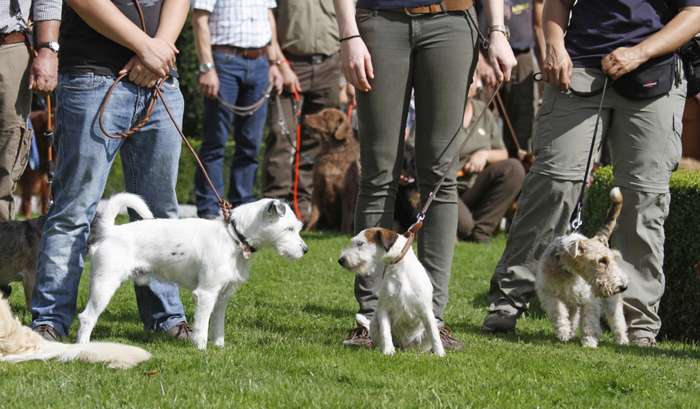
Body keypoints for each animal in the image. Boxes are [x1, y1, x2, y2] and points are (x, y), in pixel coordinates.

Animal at [338, 228, 442, 356]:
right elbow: (385, 332)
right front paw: (388, 351)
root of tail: (403, 346)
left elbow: (434, 334)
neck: (399, 267)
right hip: (374, 324)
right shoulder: (384, 309)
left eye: (360, 243)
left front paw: (440, 353)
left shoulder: (425, 310)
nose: (341, 260)